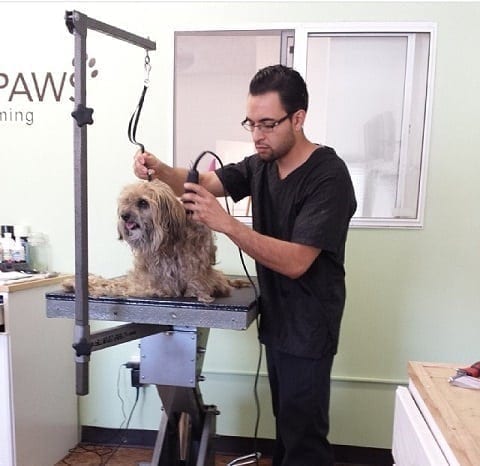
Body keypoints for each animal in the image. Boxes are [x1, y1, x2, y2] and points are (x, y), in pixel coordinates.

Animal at [62, 178, 246, 302]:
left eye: (143, 203)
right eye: (126, 201)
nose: (124, 216)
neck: (167, 242)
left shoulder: (157, 286)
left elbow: (114, 285)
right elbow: (112, 281)